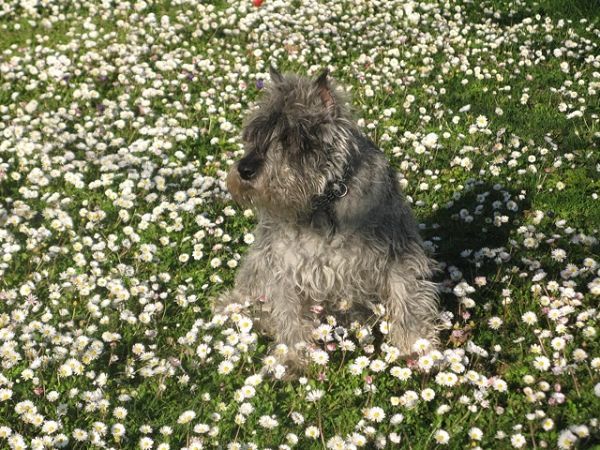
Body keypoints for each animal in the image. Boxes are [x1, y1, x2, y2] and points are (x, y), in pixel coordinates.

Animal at [213, 67, 438, 370]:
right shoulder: (284, 267)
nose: (245, 169)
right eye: (252, 134)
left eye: (290, 138)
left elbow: (408, 298)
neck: (323, 201)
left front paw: (416, 345)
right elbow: (289, 313)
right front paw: (292, 357)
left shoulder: (398, 254)